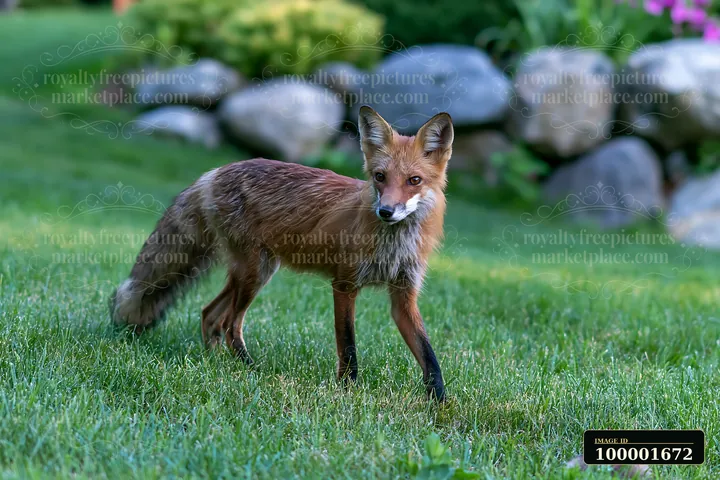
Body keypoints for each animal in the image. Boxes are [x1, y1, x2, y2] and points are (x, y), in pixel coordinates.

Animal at [110, 106, 453, 401]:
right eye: (380, 177)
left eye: (414, 181)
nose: (386, 212)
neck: (393, 247)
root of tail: (216, 171)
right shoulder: (344, 285)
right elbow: (348, 346)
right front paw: (347, 391)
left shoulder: (403, 295)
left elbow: (429, 356)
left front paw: (440, 404)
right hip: (255, 273)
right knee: (231, 324)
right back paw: (250, 369)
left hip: (251, 272)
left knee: (210, 314)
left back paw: (214, 361)